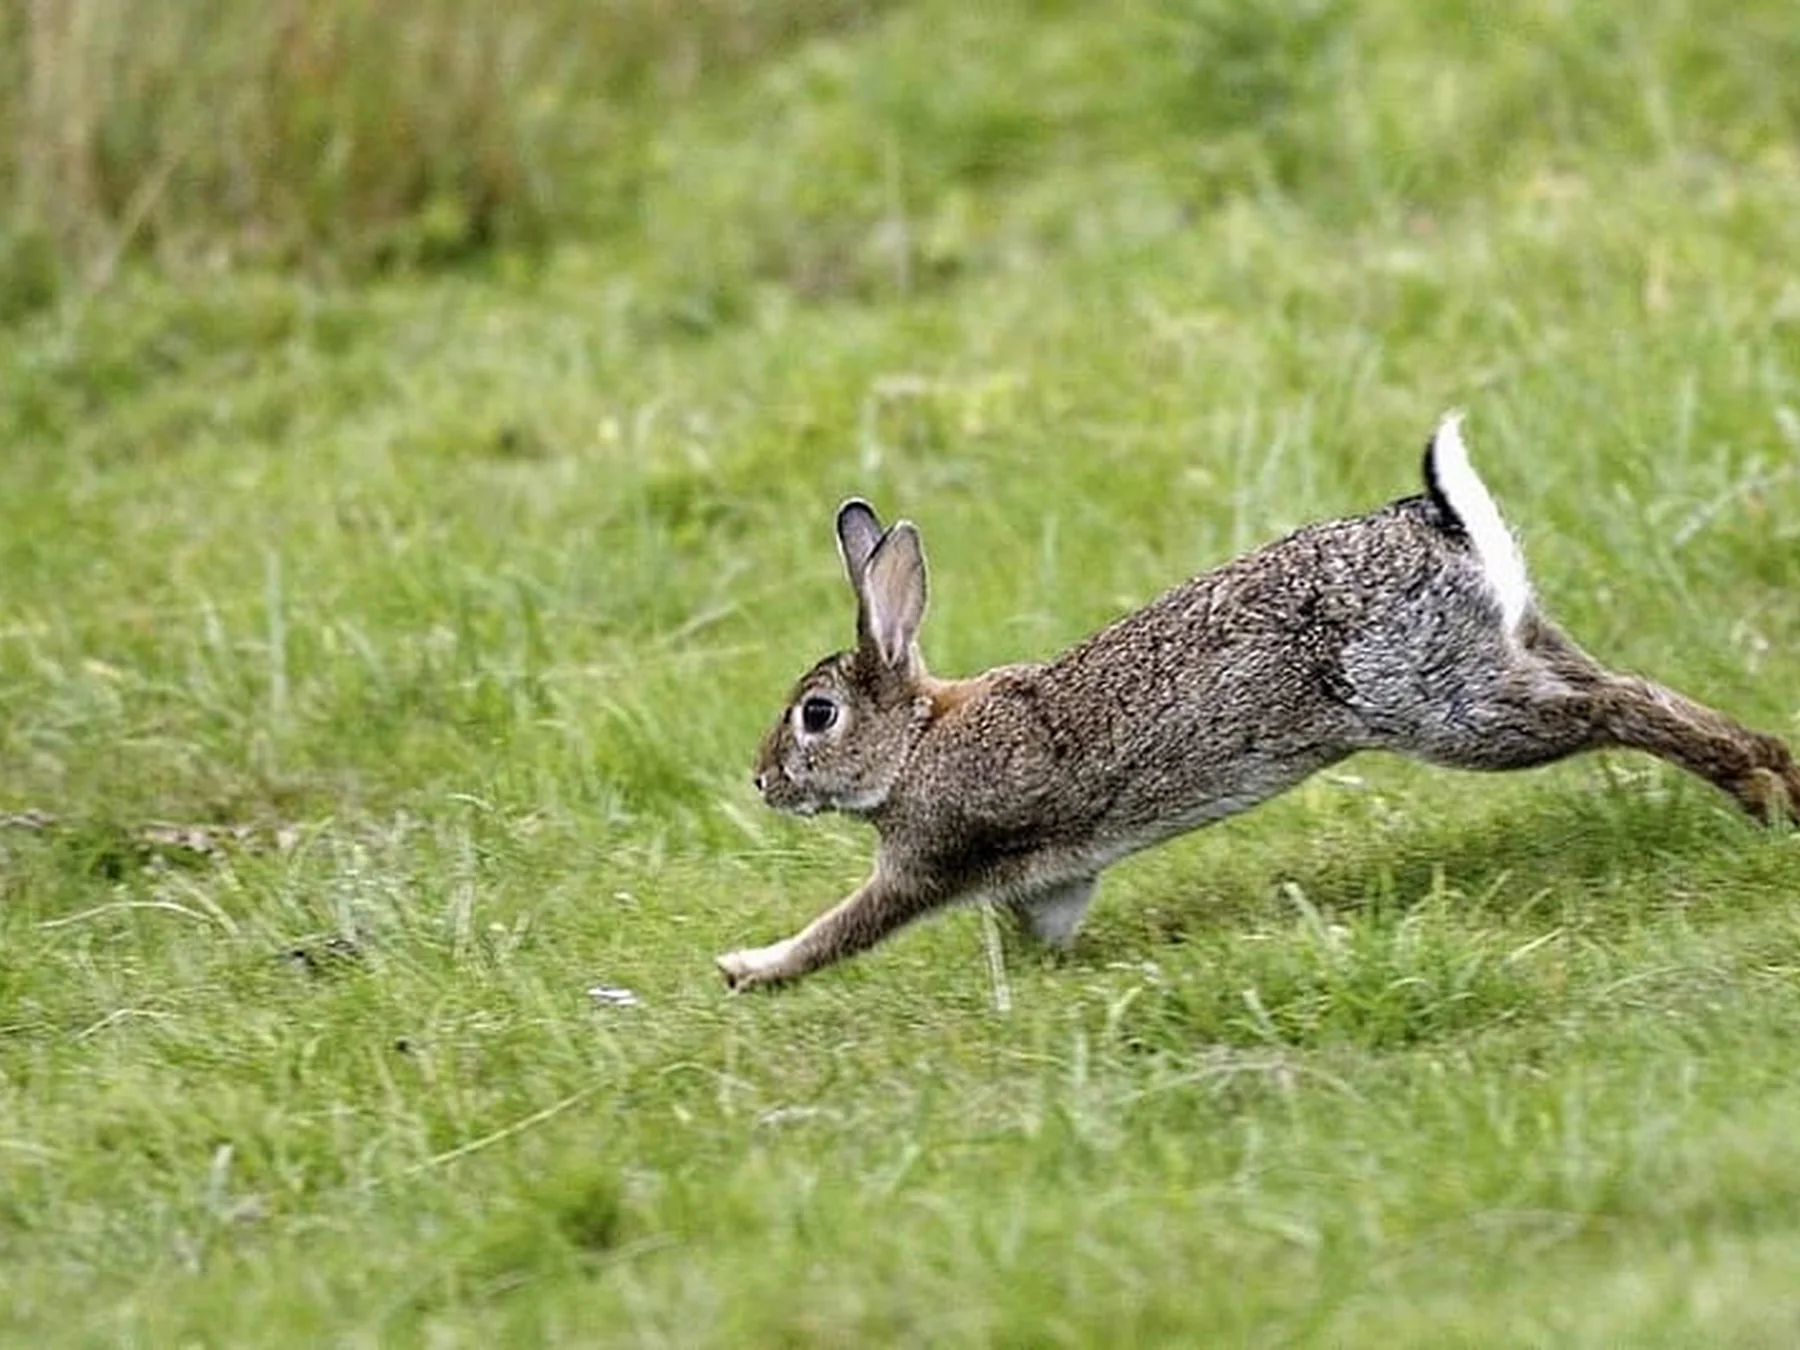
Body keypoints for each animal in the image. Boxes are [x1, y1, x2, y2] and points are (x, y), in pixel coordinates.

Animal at [716, 413, 1800, 991]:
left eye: (817, 714)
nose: (762, 780)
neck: (915, 740)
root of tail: (1437, 523)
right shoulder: (1052, 879)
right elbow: (1043, 917)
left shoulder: (926, 855)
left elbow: (845, 927)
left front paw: (747, 969)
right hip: (1515, 648)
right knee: (1628, 687)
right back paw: (1776, 778)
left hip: (1449, 708)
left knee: (1615, 710)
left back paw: (1755, 786)